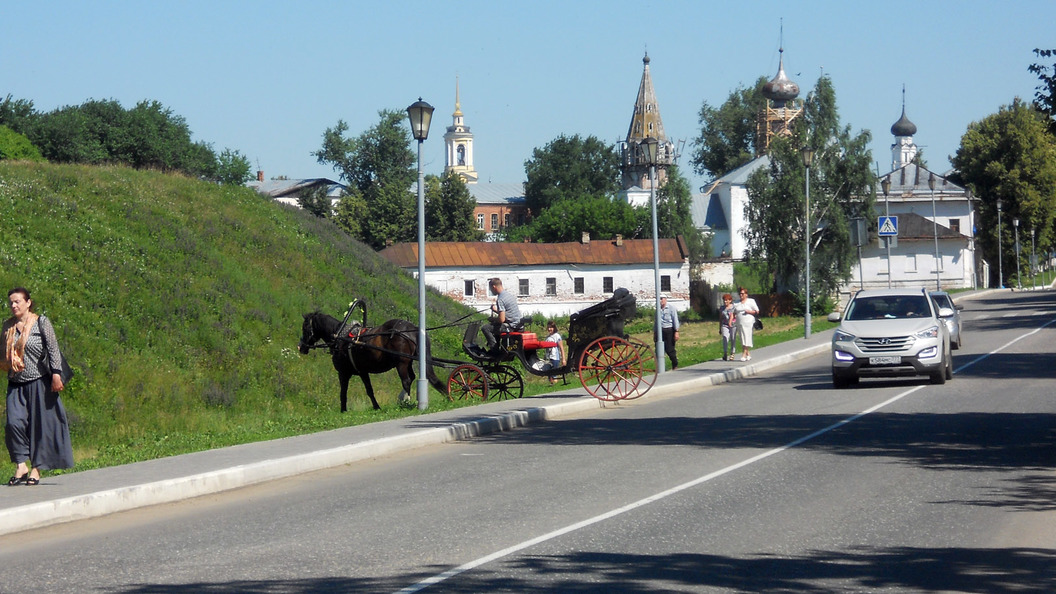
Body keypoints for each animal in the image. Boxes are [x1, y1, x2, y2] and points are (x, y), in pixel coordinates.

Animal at [297, 310, 445, 412]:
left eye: (305, 327)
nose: (301, 347)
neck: (340, 337)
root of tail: (412, 329)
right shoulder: (363, 372)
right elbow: (369, 390)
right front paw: (376, 406)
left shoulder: (344, 373)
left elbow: (344, 392)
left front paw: (343, 409)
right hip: (407, 362)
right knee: (412, 377)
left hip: (401, 363)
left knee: (406, 380)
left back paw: (406, 401)